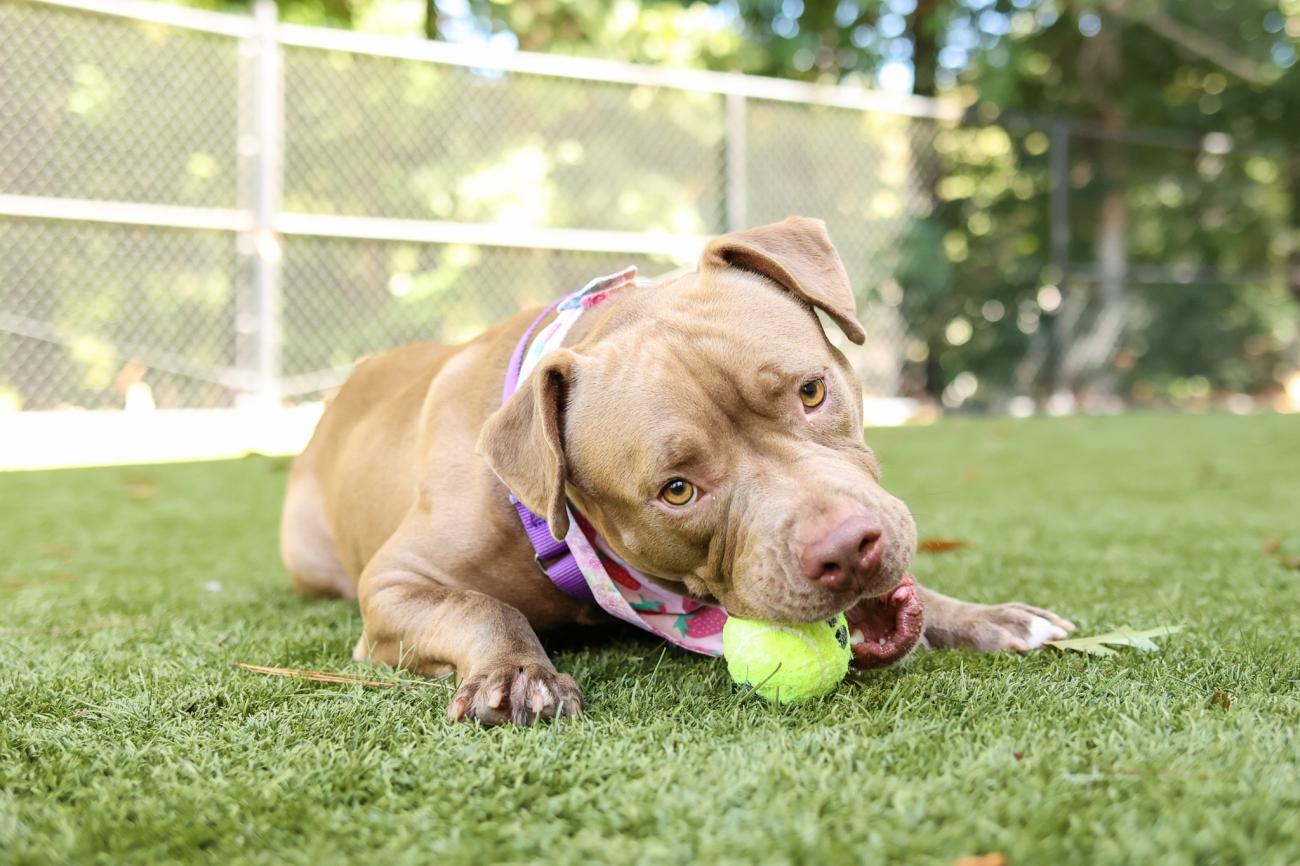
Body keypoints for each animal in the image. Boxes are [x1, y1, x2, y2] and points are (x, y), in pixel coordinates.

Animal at [282, 215, 1076, 722]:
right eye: (677, 491)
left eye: (811, 391)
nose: (848, 549)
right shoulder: (392, 584)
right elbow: (482, 606)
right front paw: (516, 673)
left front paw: (984, 616)